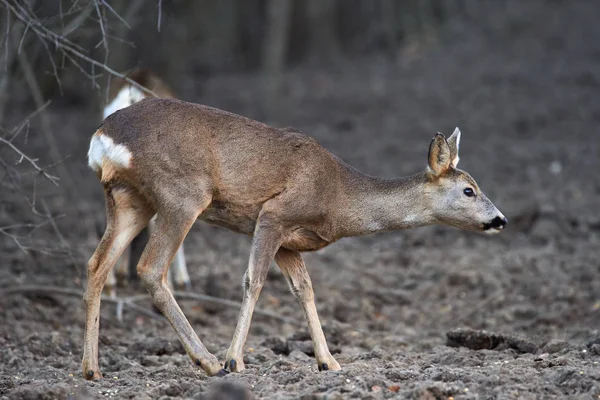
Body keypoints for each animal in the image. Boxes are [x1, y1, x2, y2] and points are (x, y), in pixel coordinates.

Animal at [83, 98, 506, 380]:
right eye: (469, 190)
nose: (500, 219)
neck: (337, 199)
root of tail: (103, 138)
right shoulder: (274, 214)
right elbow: (253, 280)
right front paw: (235, 360)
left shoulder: (290, 241)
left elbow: (305, 290)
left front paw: (328, 361)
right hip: (181, 194)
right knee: (149, 268)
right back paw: (209, 361)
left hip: (128, 199)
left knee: (96, 265)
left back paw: (91, 369)